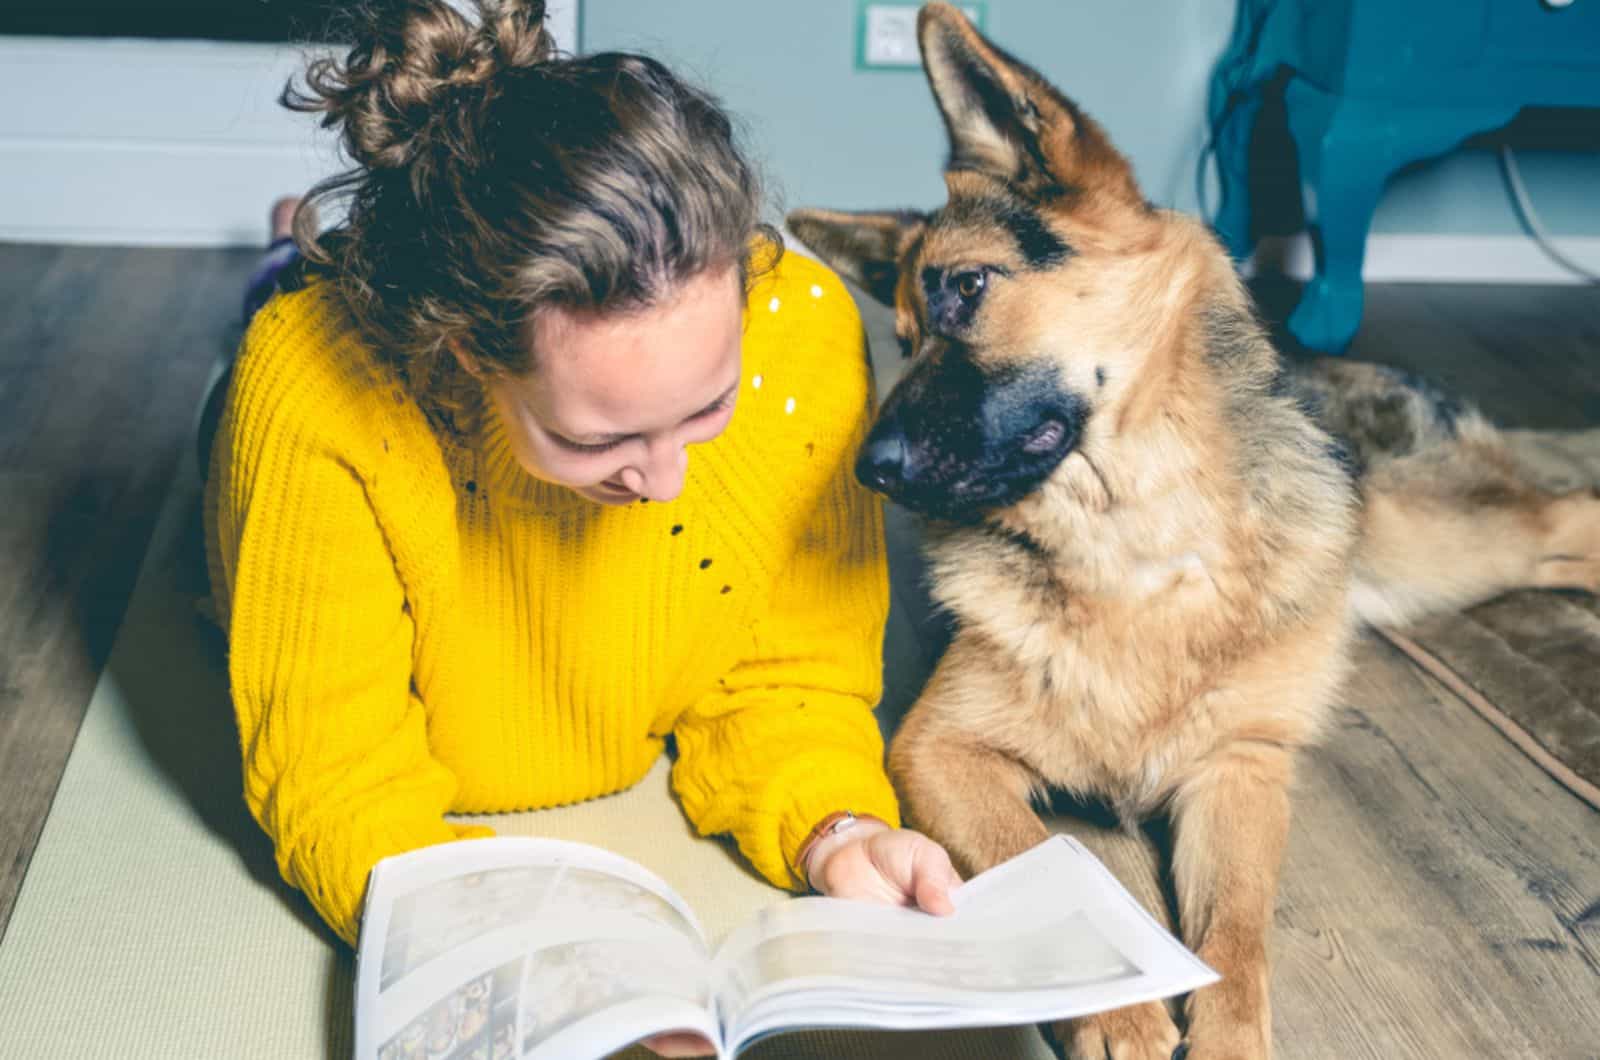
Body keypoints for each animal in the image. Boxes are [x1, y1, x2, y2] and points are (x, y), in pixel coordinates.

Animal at [787, 4, 1600, 1056]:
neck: (1134, 549)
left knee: (1565, 511)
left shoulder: (1238, 767)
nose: (869, 471)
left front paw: (1223, 1032)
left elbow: (1238, 929)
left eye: (968, 289)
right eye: (903, 336)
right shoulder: (938, 749)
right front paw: (1118, 1008)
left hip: (1434, 546)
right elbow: (1045, 855)